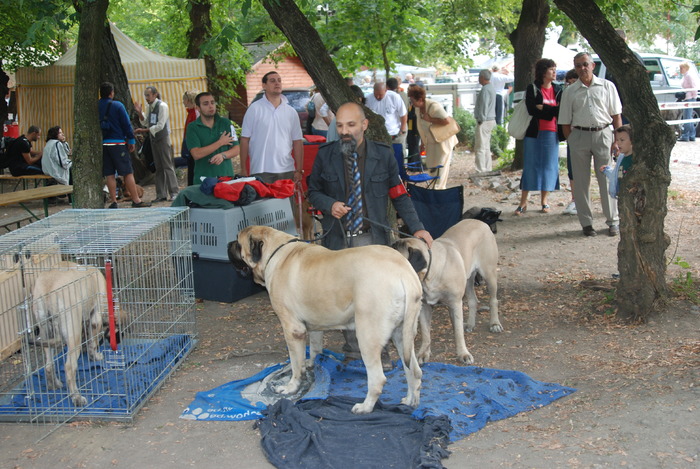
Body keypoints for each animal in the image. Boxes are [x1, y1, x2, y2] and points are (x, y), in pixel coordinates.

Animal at [228, 226, 422, 414]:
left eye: (238, 242)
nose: (229, 244)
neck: (275, 251)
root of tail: (404, 273)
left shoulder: (292, 330)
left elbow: (295, 363)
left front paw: (291, 387)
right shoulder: (314, 326)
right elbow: (314, 349)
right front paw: (312, 364)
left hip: (368, 336)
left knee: (378, 379)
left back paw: (365, 407)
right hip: (402, 335)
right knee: (414, 370)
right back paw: (410, 401)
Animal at [392, 218, 500, 364]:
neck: (429, 275)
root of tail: (481, 222)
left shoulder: (455, 303)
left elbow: (458, 333)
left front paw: (463, 354)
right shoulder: (424, 306)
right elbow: (425, 332)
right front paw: (423, 353)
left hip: (489, 273)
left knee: (493, 300)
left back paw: (495, 324)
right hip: (468, 278)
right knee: (473, 300)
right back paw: (470, 324)